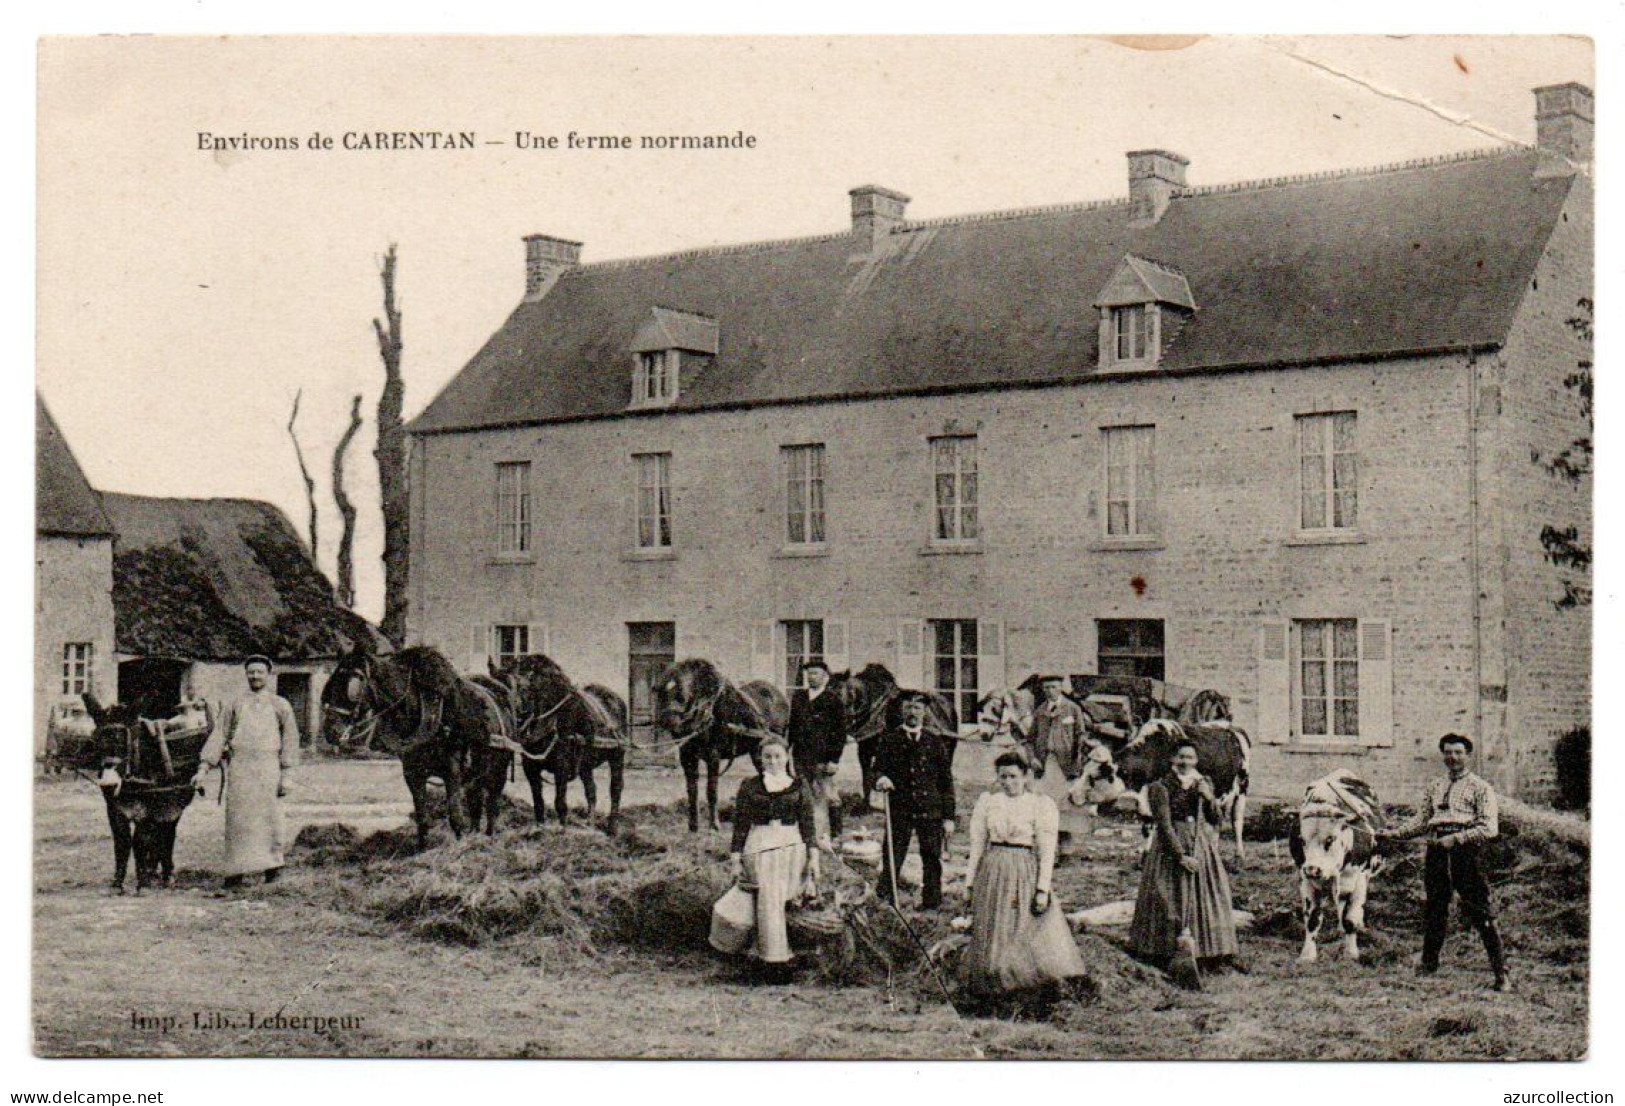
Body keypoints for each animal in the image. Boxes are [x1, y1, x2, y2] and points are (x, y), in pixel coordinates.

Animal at [80, 688, 212, 889]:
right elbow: (122, 843)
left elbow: (140, 842)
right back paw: (153, 872)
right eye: (96, 743)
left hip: (172, 805)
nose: (109, 785)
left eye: (124, 744)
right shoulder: (114, 809)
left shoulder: (149, 809)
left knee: (167, 834)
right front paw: (117, 884)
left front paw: (142, 883)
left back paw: (165, 874)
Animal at [320, 646, 510, 844]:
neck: (426, 715)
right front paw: (423, 847)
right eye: (331, 683)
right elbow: (422, 819)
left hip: (498, 771)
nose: (330, 730)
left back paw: (490, 837)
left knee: (492, 806)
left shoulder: (452, 772)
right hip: (476, 773)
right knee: (476, 803)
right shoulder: (413, 774)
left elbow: (456, 818)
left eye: (354, 682)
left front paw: (459, 845)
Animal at [487, 656, 627, 828]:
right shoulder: (530, 768)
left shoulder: (562, 767)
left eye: (519, 688)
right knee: (591, 790)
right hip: (585, 764)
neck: (551, 719)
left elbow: (560, 803)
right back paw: (590, 824)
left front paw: (562, 829)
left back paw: (612, 827)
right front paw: (540, 828)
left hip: (617, 756)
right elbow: (538, 803)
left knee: (615, 789)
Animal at [656, 656, 789, 828]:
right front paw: (693, 826)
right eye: (660, 692)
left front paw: (714, 825)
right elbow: (692, 790)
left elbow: (711, 790)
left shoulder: (713, 756)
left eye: (681, 694)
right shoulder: (687, 756)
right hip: (756, 750)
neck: (707, 712)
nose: (667, 721)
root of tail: (778, 694)